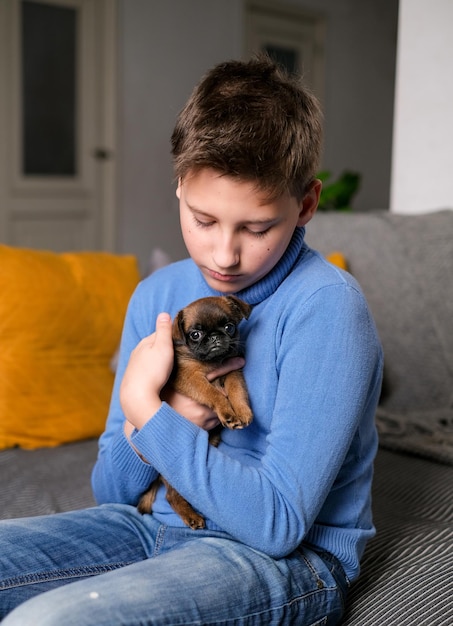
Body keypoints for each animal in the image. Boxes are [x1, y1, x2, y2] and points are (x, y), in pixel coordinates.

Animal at [136, 298, 252, 528]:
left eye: (229, 327)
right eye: (195, 334)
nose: (215, 336)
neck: (212, 362)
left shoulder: (233, 371)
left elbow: (237, 390)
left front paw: (242, 411)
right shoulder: (191, 379)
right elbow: (213, 393)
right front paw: (226, 411)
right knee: (171, 496)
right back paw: (191, 516)